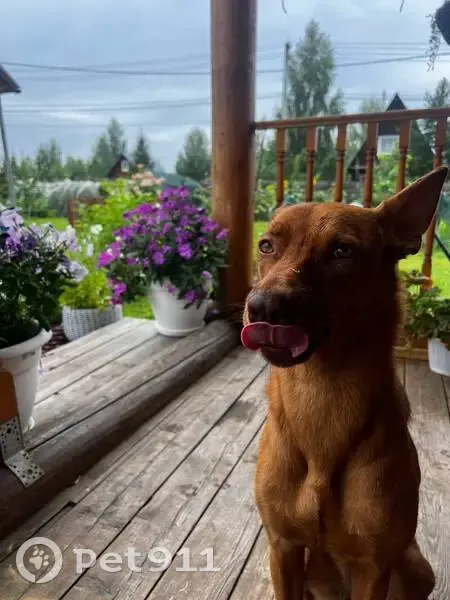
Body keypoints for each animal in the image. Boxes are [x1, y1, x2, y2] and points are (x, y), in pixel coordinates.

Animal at [241, 166, 448, 600]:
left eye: (342, 252)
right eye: (266, 245)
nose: (263, 307)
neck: (321, 392)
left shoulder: (374, 566)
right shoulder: (282, 547)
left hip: (415, 567)